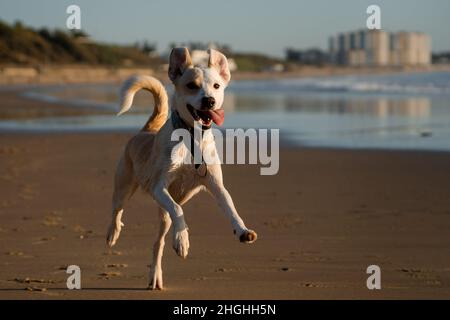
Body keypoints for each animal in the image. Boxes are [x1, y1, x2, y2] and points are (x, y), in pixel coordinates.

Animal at [106, 47, 258, 290]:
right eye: (192, 85)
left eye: (216, 86)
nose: (209, 100)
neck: (192, 138)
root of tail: (146, 130)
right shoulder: (159, 187)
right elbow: (179, 210)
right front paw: (182, 241)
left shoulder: (216, 185)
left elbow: (230, 208)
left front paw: (242, 230)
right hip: (124, 186)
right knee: (117, 210)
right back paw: (113, 233)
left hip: (163, 216)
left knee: (157, 243)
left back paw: (155, 276)